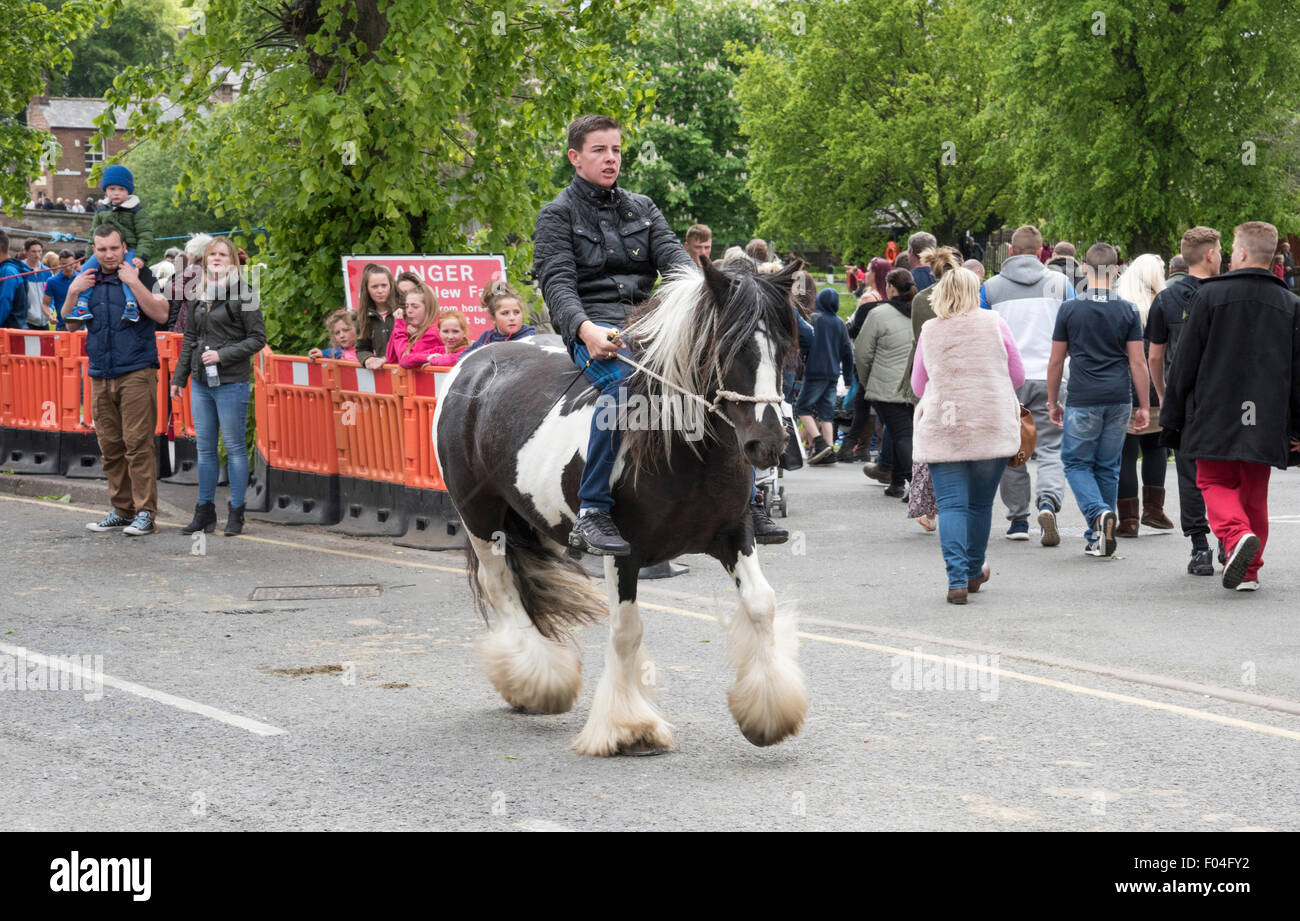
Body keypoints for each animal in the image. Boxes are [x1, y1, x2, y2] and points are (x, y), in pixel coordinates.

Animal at [431, 257, 806, 754]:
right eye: (730, 347)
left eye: (783, 348)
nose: (768, 445)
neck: (680, 448)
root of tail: (472, 364)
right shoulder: (623, 554)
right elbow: (627, 631)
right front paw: (629, 727)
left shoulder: (734, 534)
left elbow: (762, 604)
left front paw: (769, 713)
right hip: (480, 519)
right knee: (503, 589)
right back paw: (536, 681)